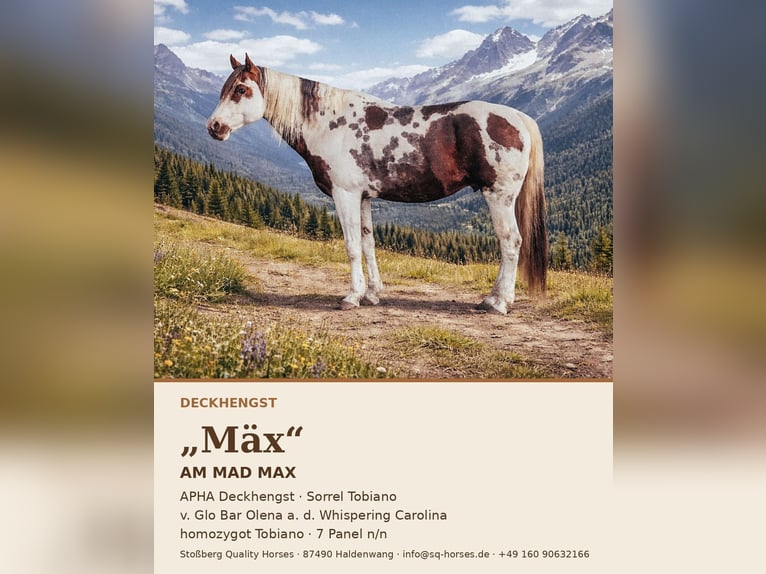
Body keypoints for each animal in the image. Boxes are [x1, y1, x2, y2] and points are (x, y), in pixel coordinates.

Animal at [207, 54, 547, 315]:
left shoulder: (345, 194)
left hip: (499, 195)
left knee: (511, 242)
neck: (330, 124)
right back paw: (494, 299)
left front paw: (352, 296)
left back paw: (498, 302)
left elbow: (352, 246)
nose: (214, 127)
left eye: (240, 89)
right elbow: (368, 244)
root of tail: (518, 117)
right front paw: (372, 294)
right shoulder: (364, 197)